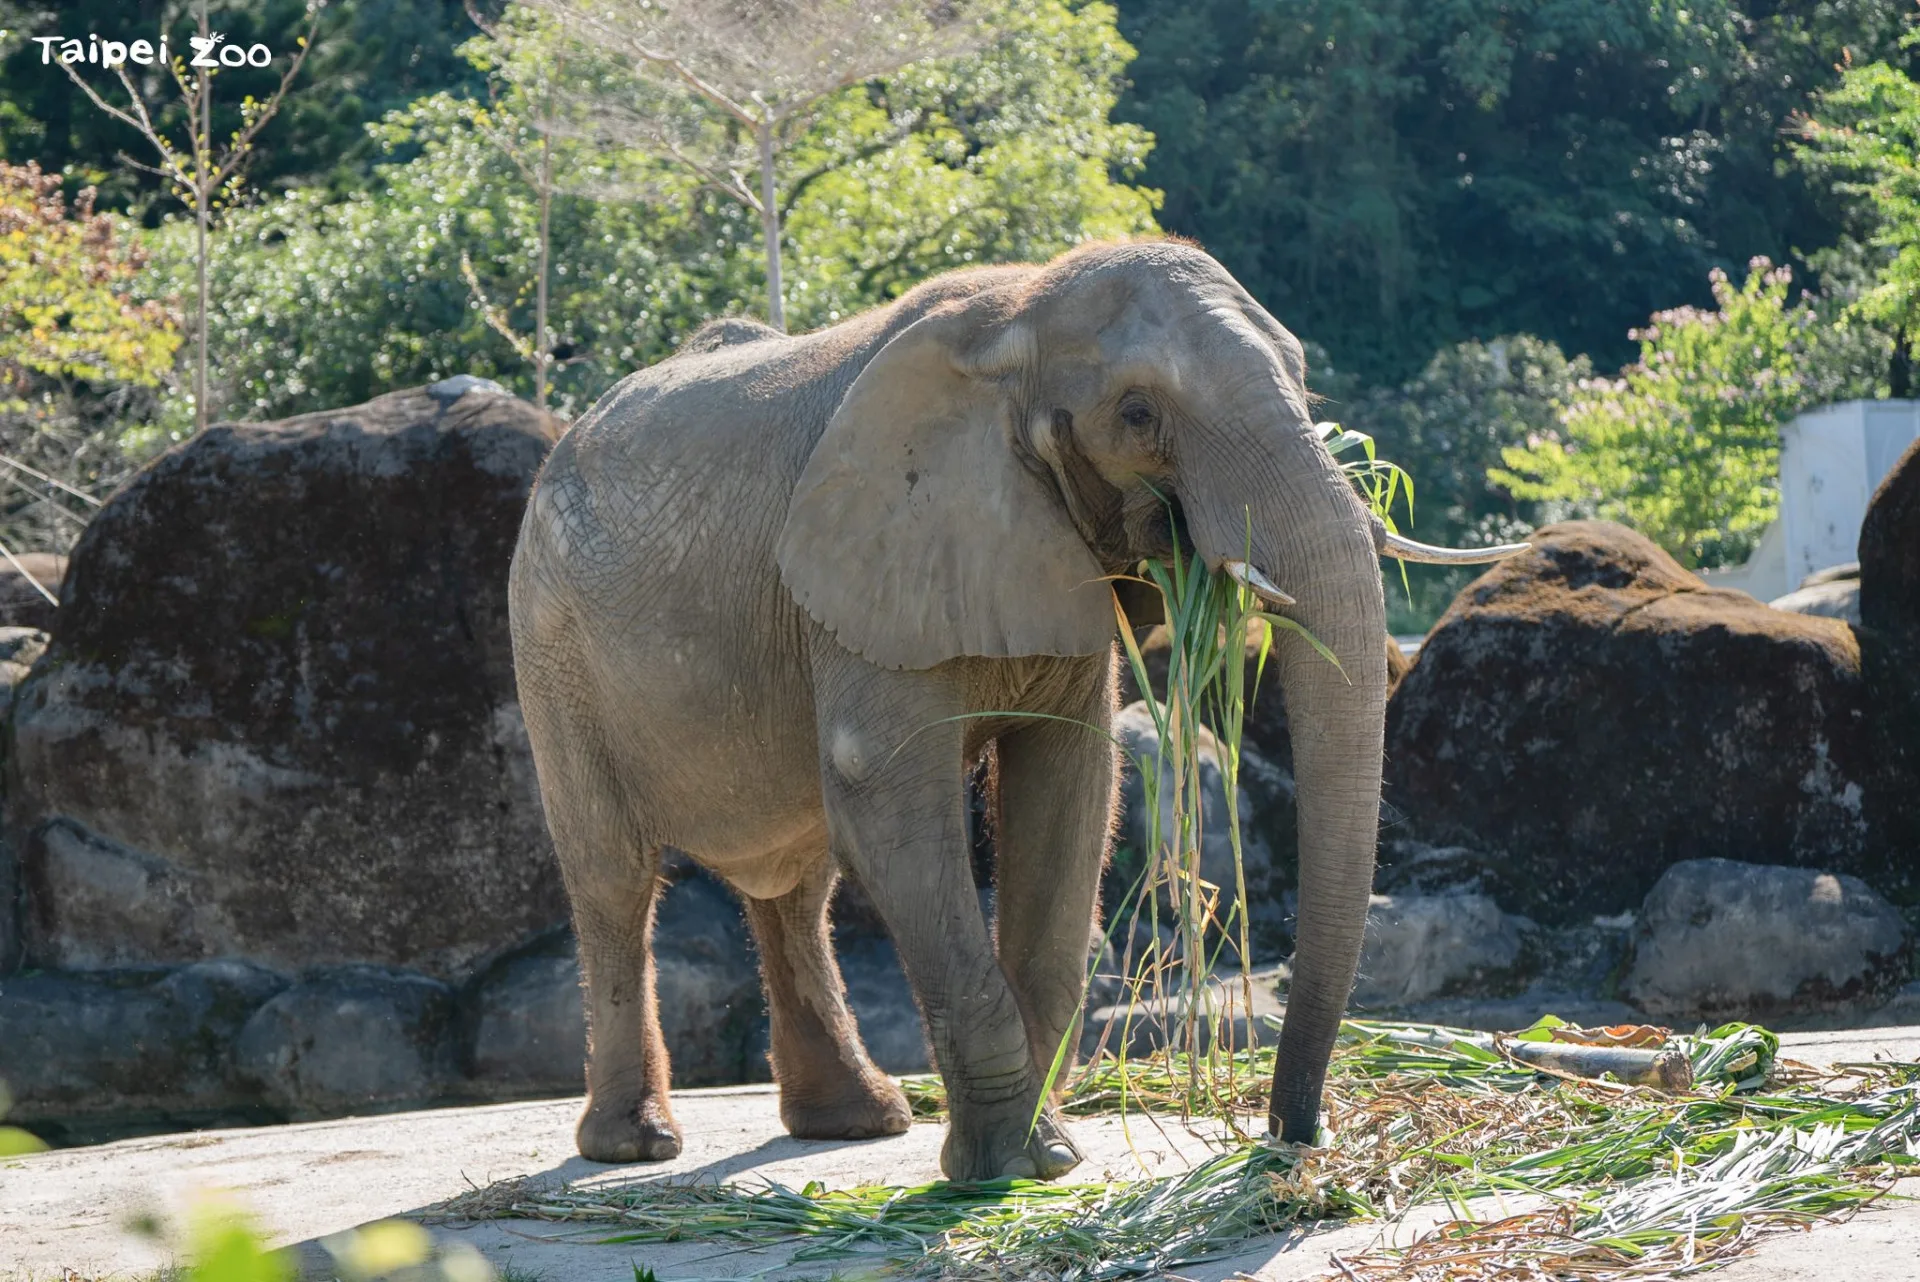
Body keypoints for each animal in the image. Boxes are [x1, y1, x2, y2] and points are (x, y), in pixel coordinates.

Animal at [507, 240, 1523, 1180]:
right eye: (1138, 412)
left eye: (1303, 374)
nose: (1286, 1139)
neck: (1016, 314)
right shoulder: (873, 564)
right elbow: (889, 799)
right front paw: (1005, 1167)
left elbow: (1070, 788)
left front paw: (1049, 1155)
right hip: (550, 643)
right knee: (615, 876)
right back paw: (636, 1145)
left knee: (795, 885)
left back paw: (858, 1123)